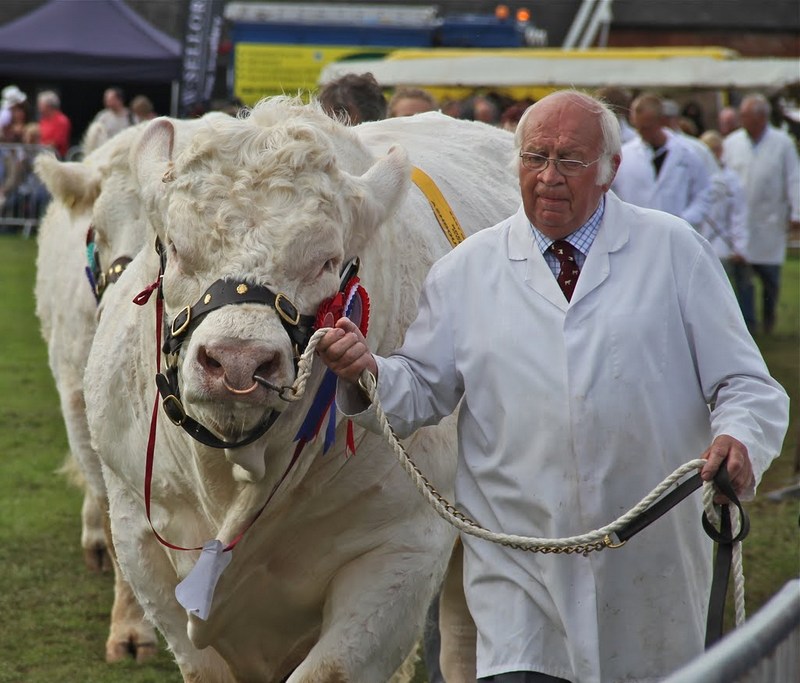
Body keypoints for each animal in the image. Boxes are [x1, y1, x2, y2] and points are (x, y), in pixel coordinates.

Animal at [83, 96, 521, 682]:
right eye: (174, 249)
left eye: (327, 261)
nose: (237, 360)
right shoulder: (139, 534)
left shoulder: (401, 551)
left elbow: (329, 669)